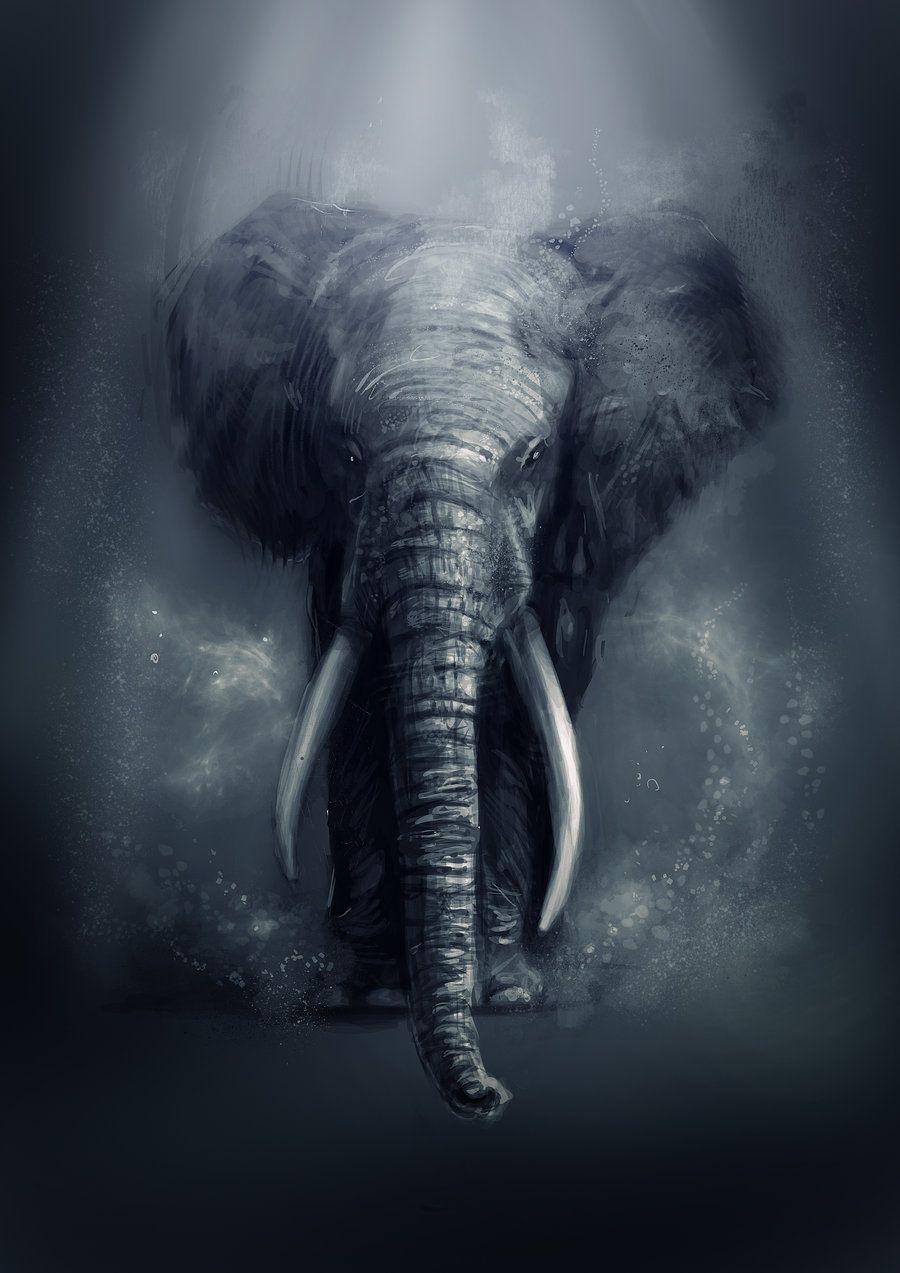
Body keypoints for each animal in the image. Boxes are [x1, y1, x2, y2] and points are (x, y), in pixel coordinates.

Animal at [164, 193, 776, 1121]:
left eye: (535, 457)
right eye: (346, 450)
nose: (489, 1094)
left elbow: (523, 718)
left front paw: (513, 994)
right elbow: (358, 710)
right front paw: (370, 995)